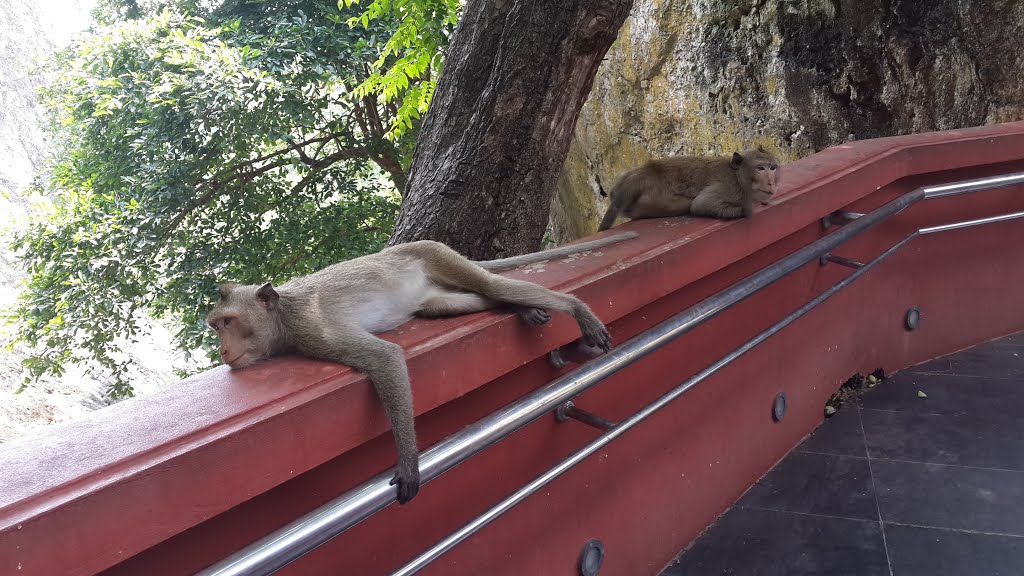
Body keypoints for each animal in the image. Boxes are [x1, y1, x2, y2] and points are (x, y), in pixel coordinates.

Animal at [204, 229, 634, 502]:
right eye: (216, 326)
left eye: (228, 322)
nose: (223, 351)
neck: (283, 317)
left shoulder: (313, 330)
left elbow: (385, 357)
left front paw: (409, 462)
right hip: (434, 292)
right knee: (467, 300)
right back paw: (521, 308)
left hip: (436, 253)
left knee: (491, 286)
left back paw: (574, 309)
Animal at [598, 145, 778, 230]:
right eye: (760, 168)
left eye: (773, 167)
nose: (771, 182)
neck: (738, 176)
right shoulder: (729, 187)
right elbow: (700, 205)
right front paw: (746, 210)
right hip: (651, 201)